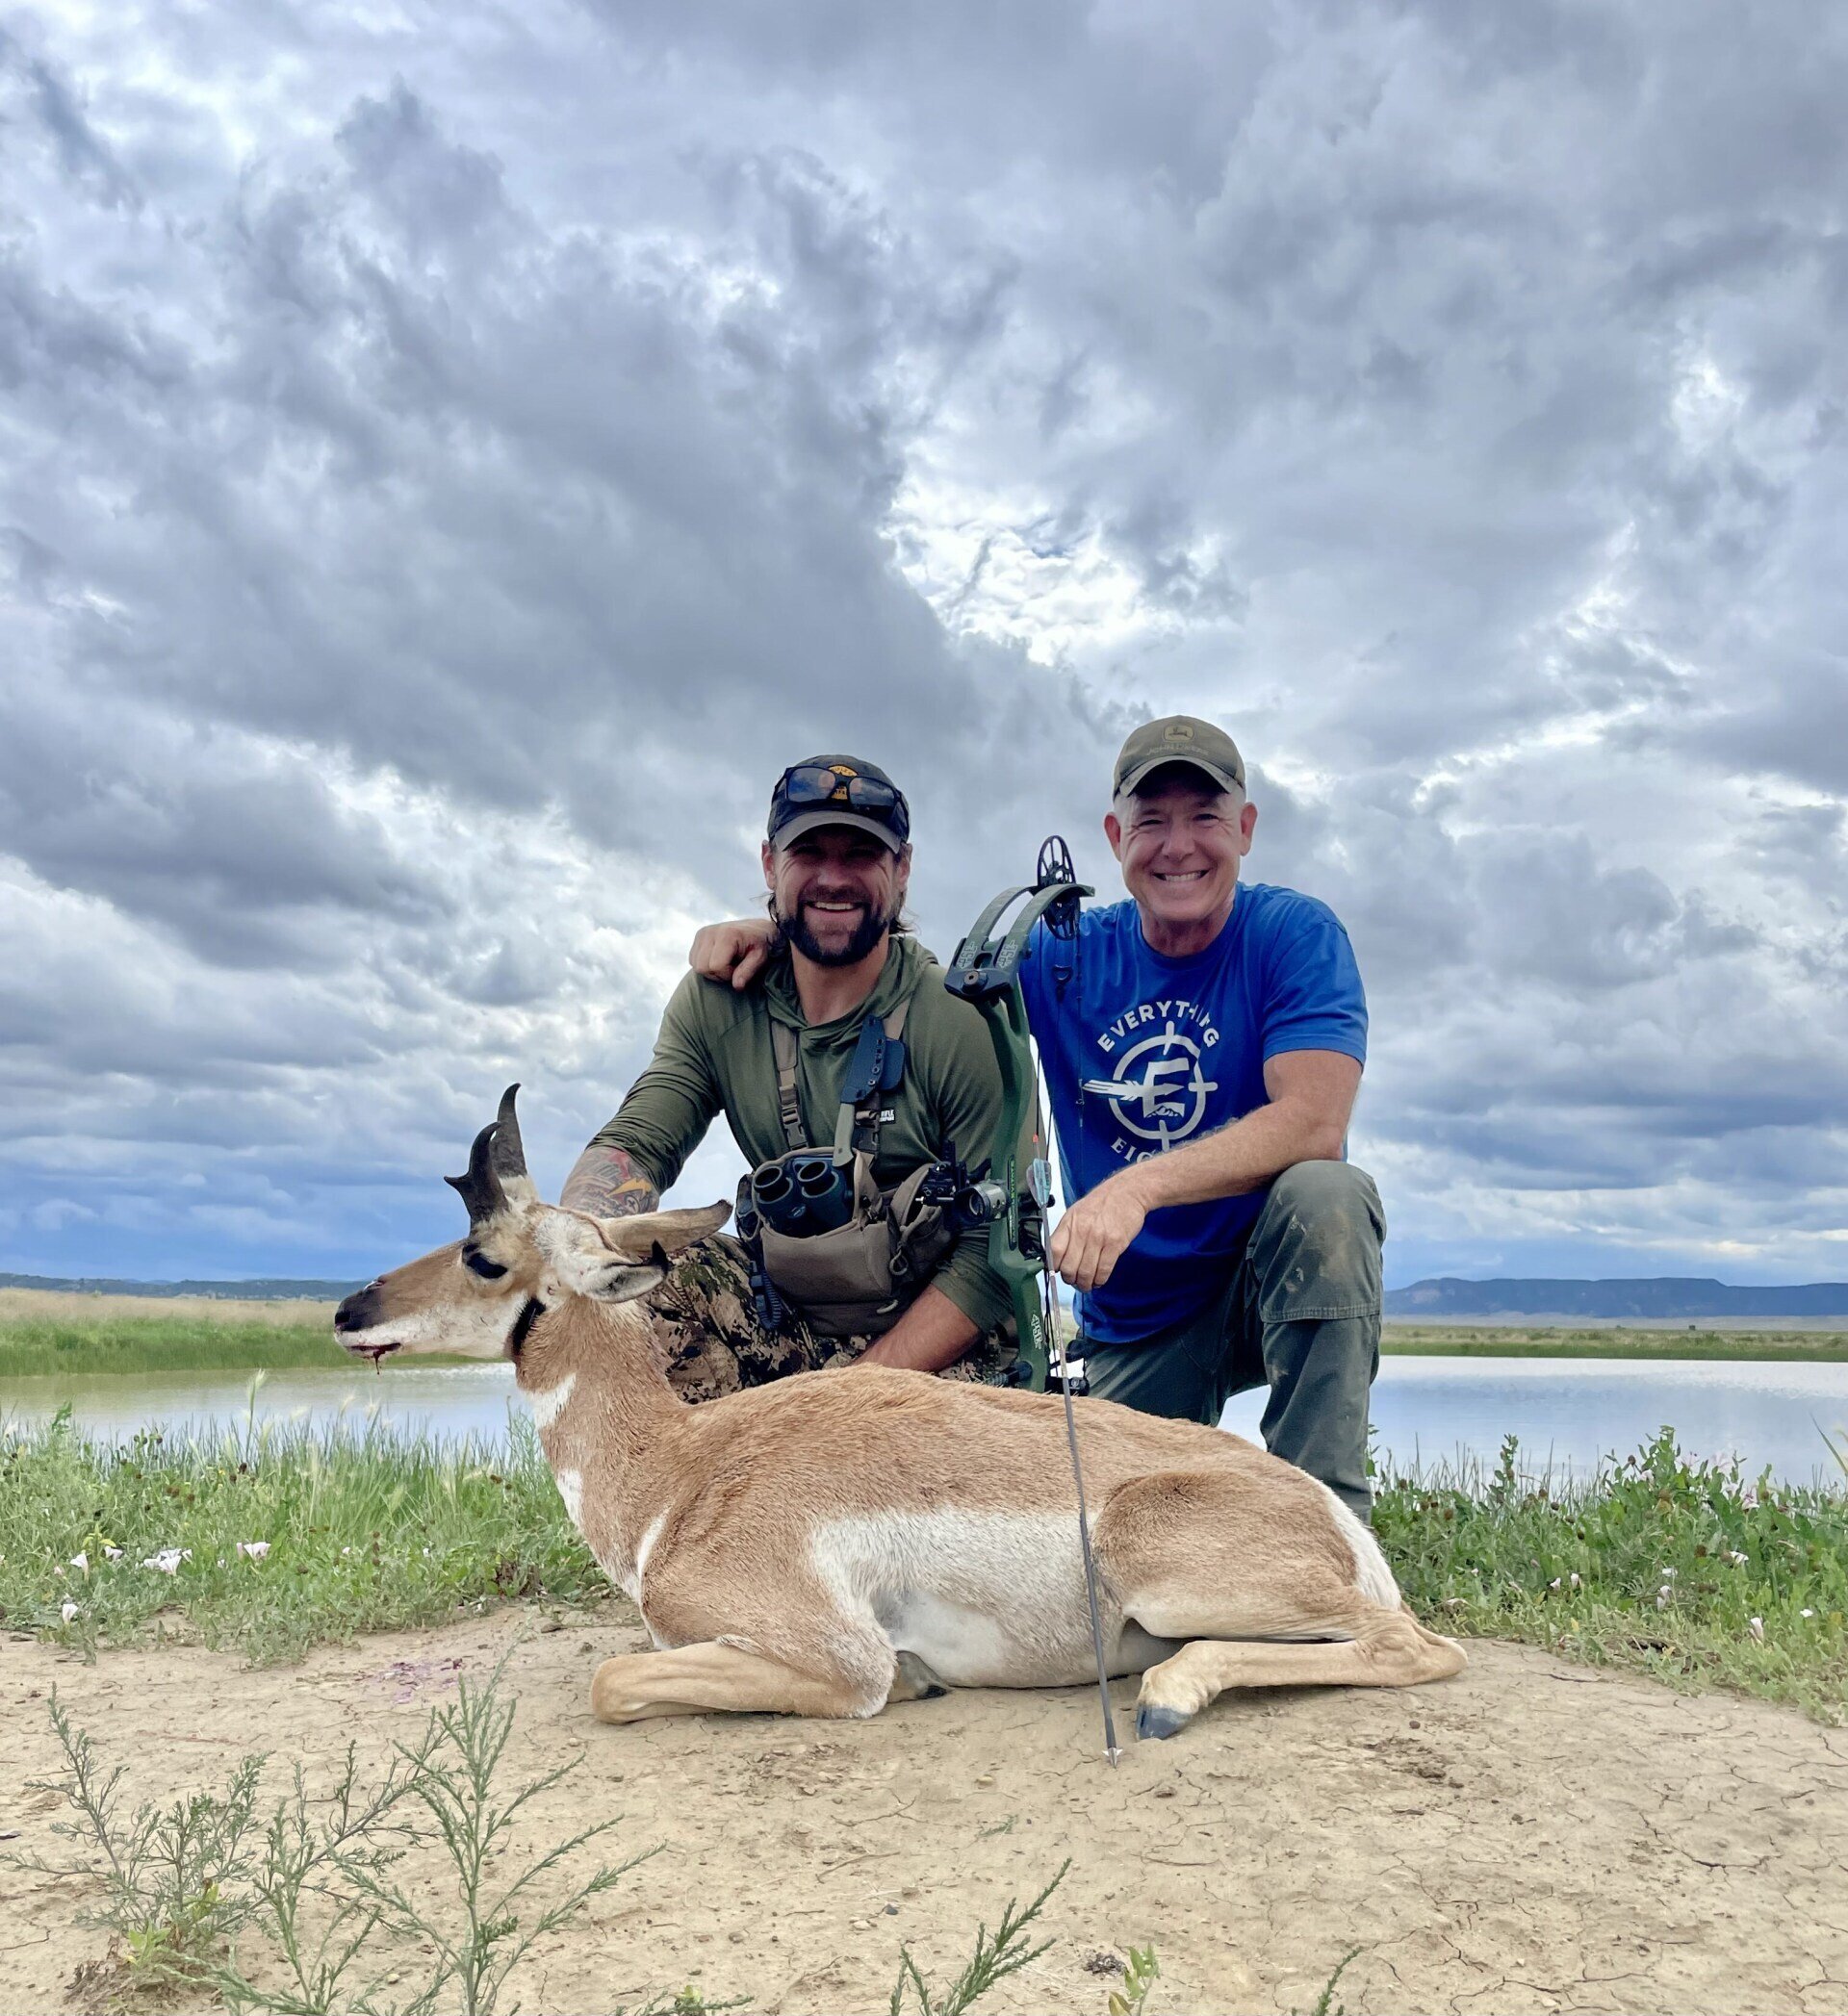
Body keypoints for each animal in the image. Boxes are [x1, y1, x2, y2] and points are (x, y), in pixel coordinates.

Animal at [335, 1088, 1466, 1739]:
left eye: (484, 1254)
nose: (350, 1310)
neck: (678, 1468)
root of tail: (1335, 1516)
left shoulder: (838, 1659)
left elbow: (614, 1679)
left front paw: (921, 1684)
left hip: (1162, 1559)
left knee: (1422, 1650)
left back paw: (1168, 1697)